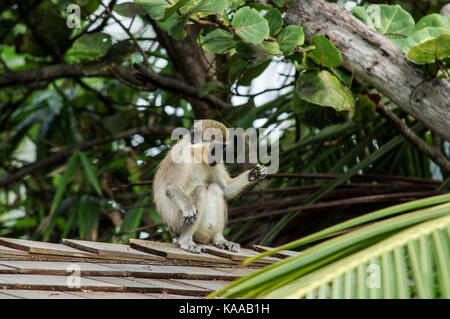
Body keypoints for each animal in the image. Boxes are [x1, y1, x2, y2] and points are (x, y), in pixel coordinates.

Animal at [154, 119, 268, 254]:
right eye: (214, 148)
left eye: (222, 148)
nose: (219, 157)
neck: (195, 154)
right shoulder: (180, 156)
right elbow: (171, 187)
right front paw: (187, 205)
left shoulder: (213, 164)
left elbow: (226, 189)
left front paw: (254, 174)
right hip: (178, 223)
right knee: (200, 191)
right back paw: (186, 240)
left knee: (216, 188)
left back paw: (219, 239)